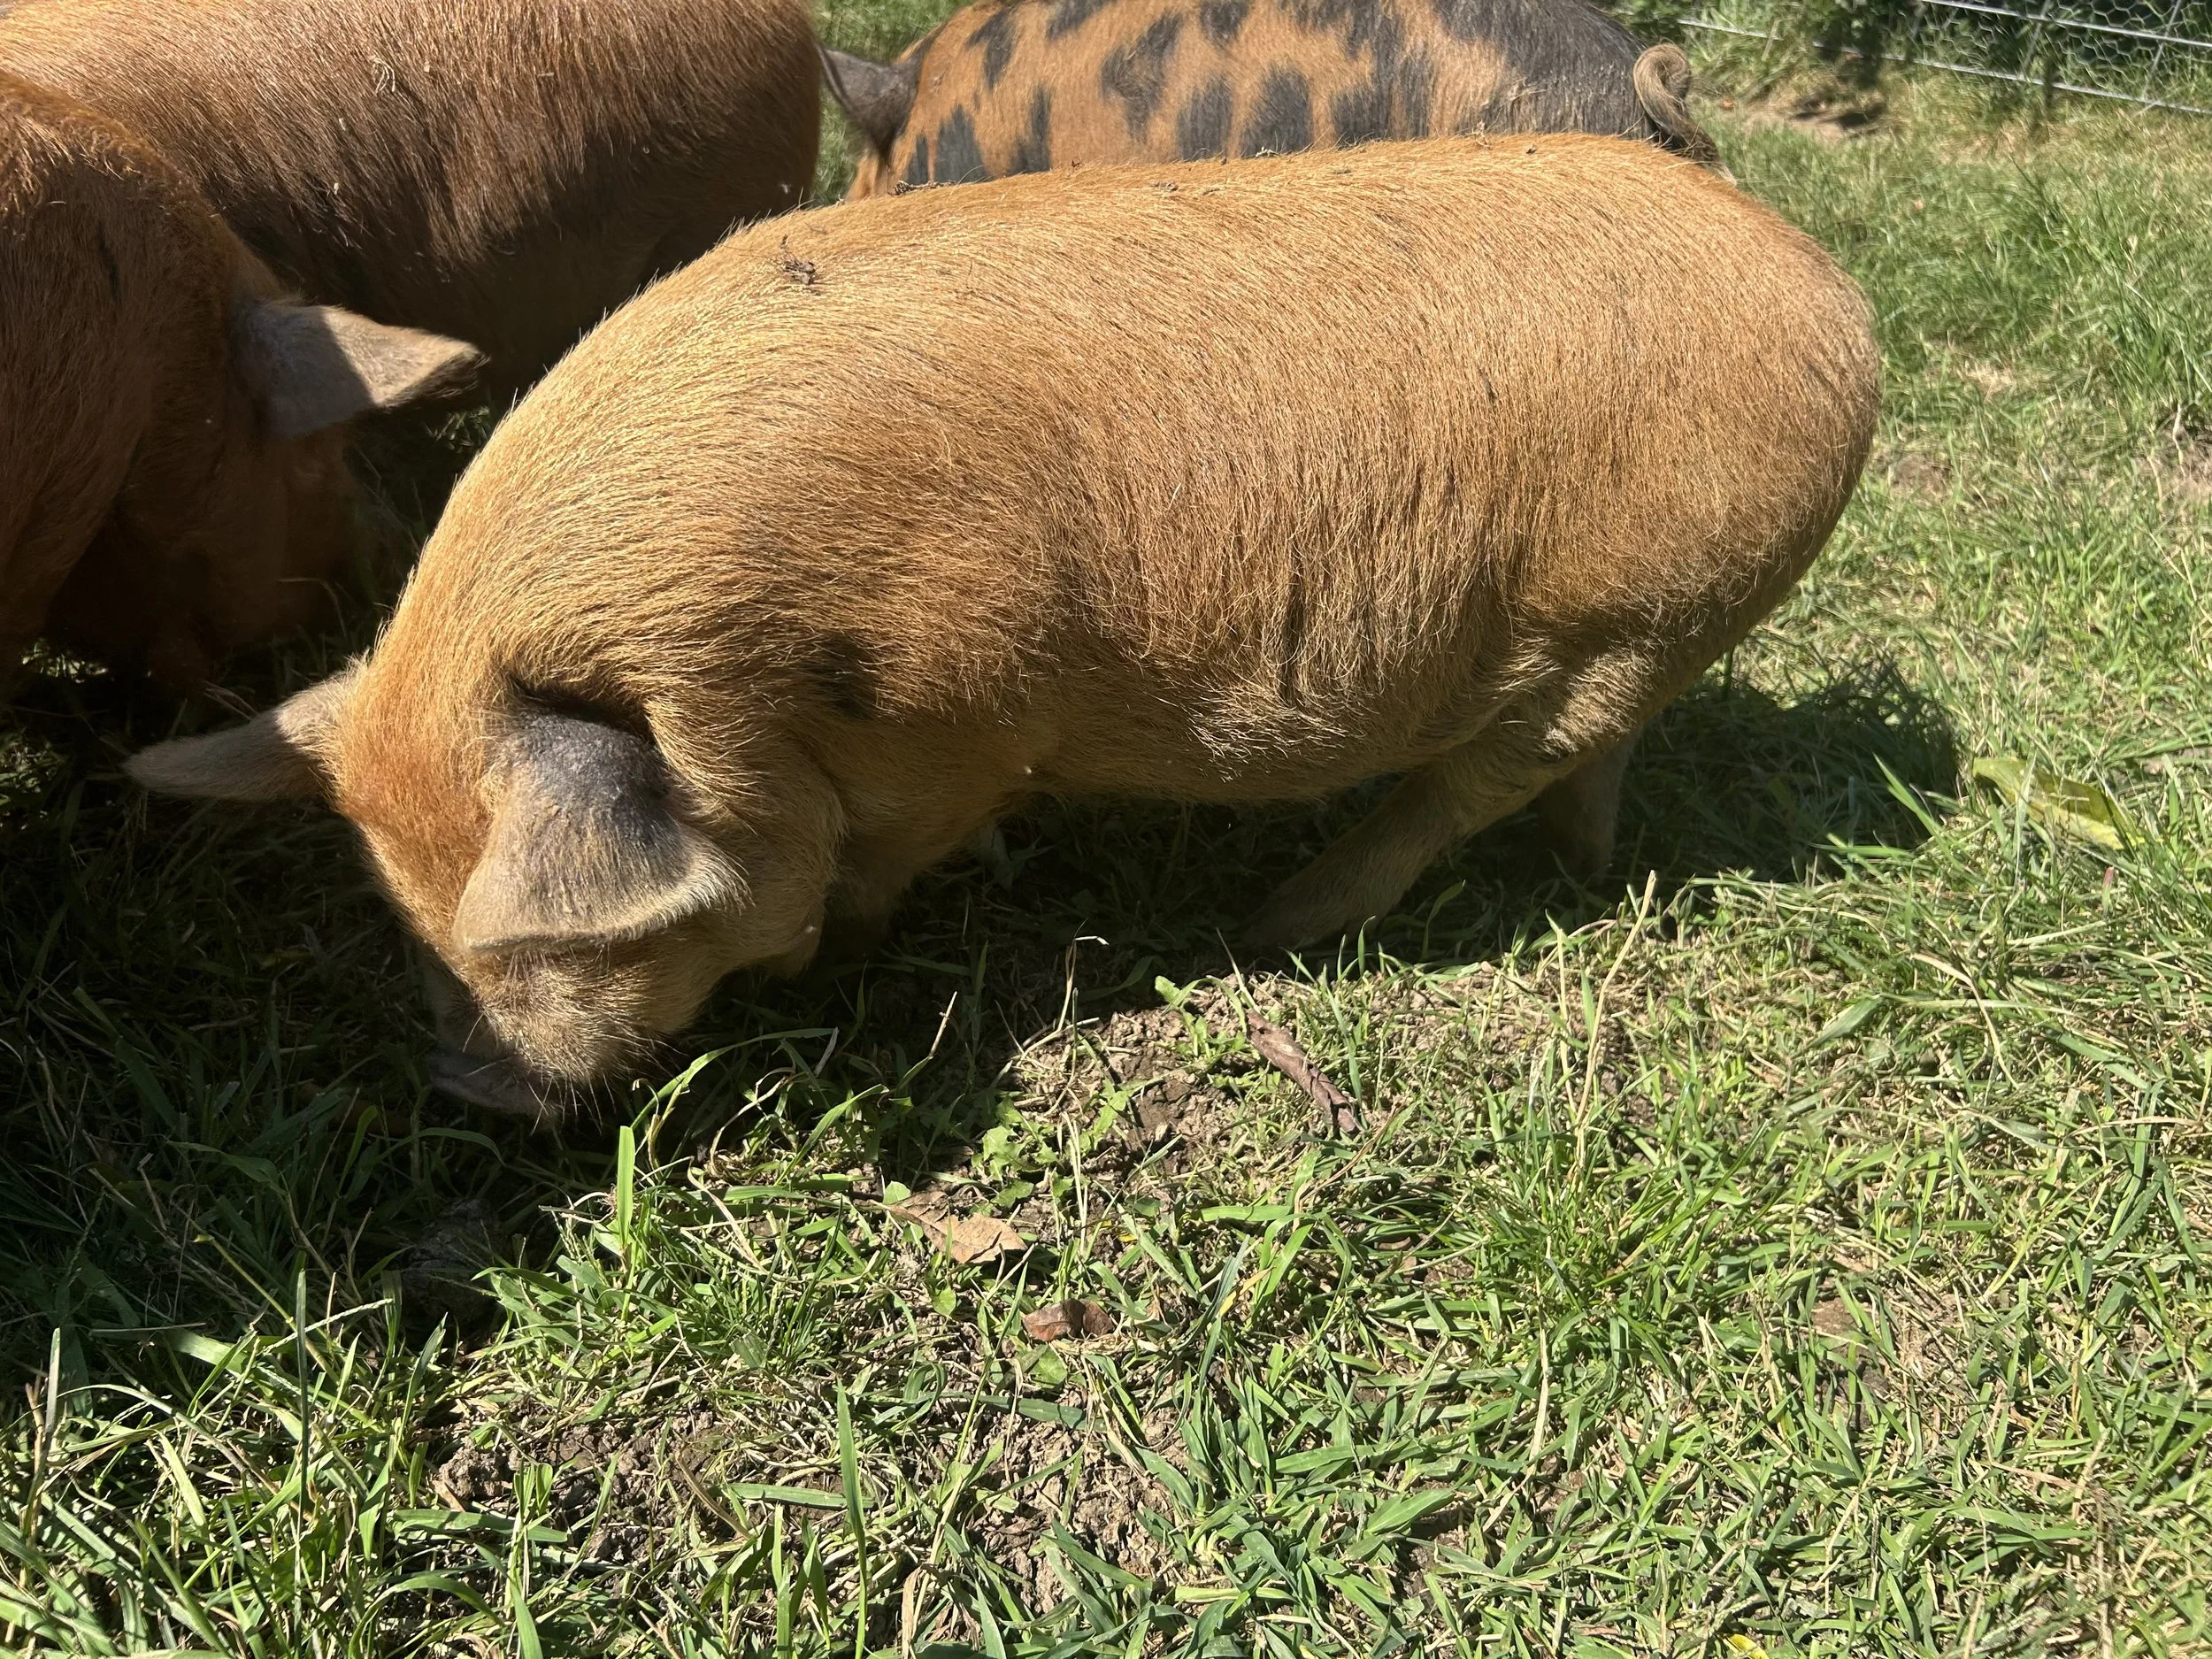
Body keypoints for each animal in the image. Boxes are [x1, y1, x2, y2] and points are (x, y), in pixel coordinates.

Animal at [130, 135, 1878, 1112]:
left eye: (572, 934)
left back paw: (1273, 927)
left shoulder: (965, 721)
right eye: (405, 906)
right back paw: (1574, 871)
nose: (467, 1084)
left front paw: (859, 943)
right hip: (1656, 637)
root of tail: (1838, 303)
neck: (764, 680)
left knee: (1465, 786)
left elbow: (886, 863)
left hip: (1630, 618)